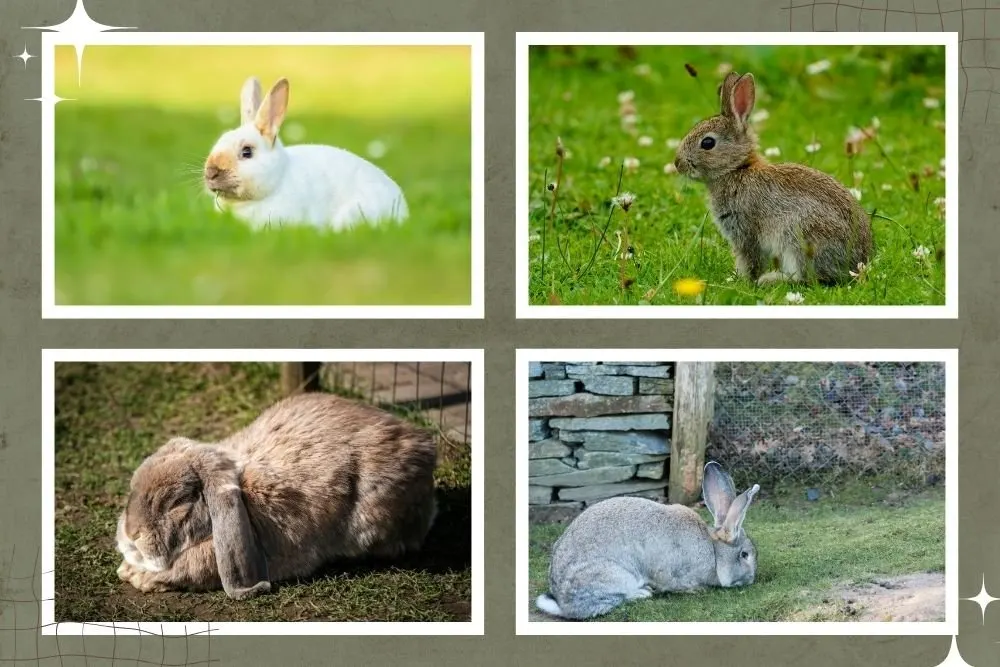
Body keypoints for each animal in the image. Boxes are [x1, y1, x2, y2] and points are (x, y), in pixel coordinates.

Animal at [115, 391, 437, 600]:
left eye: (178, 503)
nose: (131, 533)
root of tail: (425, 446)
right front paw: (128, 569)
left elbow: (188, 568)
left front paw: (137, 576)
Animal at [535, 461, 760, 620]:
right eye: (744, 555)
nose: (751, 579)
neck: (714, 552)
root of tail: (562, 601)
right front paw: (697, 589)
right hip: (616, 576)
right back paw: (642, 593)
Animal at [673, 71, 872, 286]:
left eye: (707, 143)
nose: (677, 163)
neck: (736, 169)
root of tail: (858, 265)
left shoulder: (746, 232)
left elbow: (750, 259)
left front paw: (743, 281)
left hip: (800, 237)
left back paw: (770, 279)